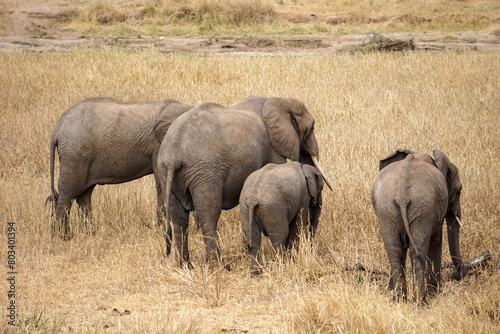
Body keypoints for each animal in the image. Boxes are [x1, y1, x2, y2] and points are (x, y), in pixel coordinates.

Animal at [46, 97, 193, 240]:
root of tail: (57, 128)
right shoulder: (158, 146)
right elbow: (162, 184)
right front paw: (161, 232)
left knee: (84, 195)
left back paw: (89, 234)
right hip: (75, 155)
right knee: (67, 194)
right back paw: (63, 237)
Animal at [158, 95, 334, 268]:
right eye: (312, 127)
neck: (277, 100)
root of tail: (173, 154)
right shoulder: (271, 148)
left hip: (167, 174)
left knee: (178, 219)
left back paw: (185, 266)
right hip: (205, 172)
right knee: (208, 216)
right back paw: (220, 266)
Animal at [372, 149, 468, 302]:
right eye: (459, 191)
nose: (456, 274)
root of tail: (402, 195)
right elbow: (436, 241)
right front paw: (435, 293)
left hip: (386, 208)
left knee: (394, 250)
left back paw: (399, 300)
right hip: (423, 208)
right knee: (417, 251)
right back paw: (421, 301)